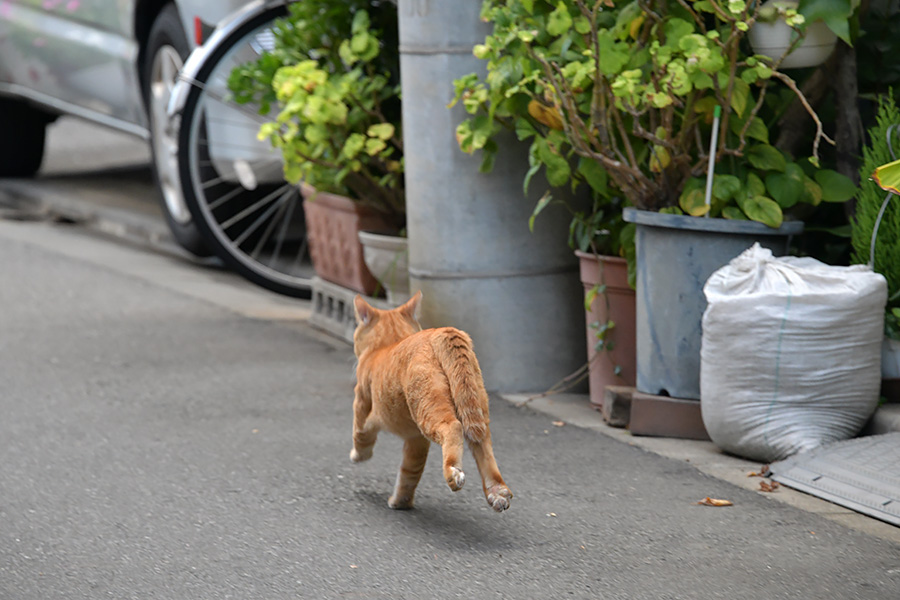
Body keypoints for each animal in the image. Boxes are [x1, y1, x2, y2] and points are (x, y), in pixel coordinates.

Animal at [350, 290, 510, 510]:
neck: (389, 343)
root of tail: (440, 331)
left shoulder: (361, 402)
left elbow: (360, 435)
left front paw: (358, 456)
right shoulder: (416, 439)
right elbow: (410, 472)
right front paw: (401, 502)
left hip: (429, 408)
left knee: (453, 427)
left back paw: (453, 473)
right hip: (474, 407)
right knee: (484, 449)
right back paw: (497, 492)